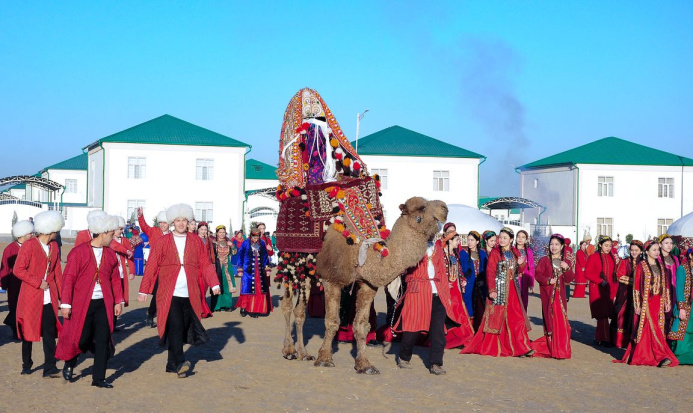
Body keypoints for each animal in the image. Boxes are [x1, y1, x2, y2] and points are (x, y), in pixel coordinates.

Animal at [282, 195, 448, 372]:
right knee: (287, 306)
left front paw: (364, 365)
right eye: (422, 209)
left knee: (299, 311)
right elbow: (332, 321)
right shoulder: (331, 279)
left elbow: (361, 324)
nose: (444, 207)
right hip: (288, 263)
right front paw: (325, 359)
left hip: (306, 272)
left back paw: (304, 353)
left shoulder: (368, 284)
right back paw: (289, 351)